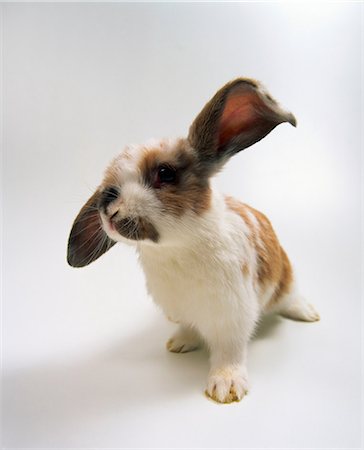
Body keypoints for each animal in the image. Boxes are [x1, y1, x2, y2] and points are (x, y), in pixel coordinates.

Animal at [67, 78, 318, 404]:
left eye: (165, 173)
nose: (107, 203)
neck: (175, 249)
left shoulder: (233, 318)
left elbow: (229, 352)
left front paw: (226, 387)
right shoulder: (181, 310)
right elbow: (188, 328)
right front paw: (179, 343)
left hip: (285, 281)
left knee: (291, 297)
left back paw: (308, 314)